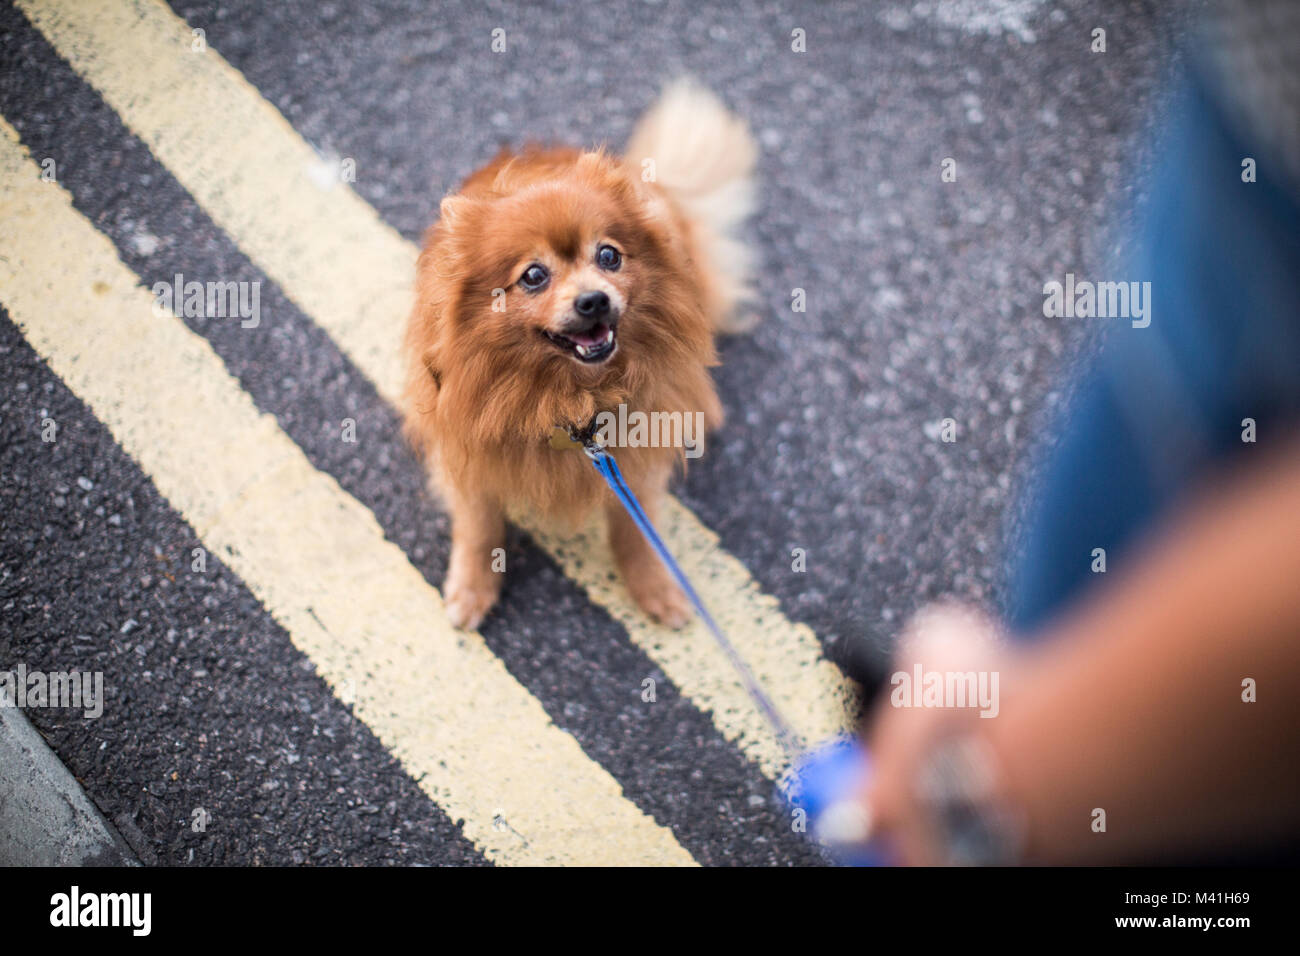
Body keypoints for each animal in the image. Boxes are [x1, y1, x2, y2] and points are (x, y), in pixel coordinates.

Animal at [400, 82, 759, 632]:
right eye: (533, 276)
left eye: (608, 255)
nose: (593, 300)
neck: (569, 399)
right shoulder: (469, 453)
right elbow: (479, 527)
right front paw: (472, 587)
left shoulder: (632, 459)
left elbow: (636, 530)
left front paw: (655, 585)